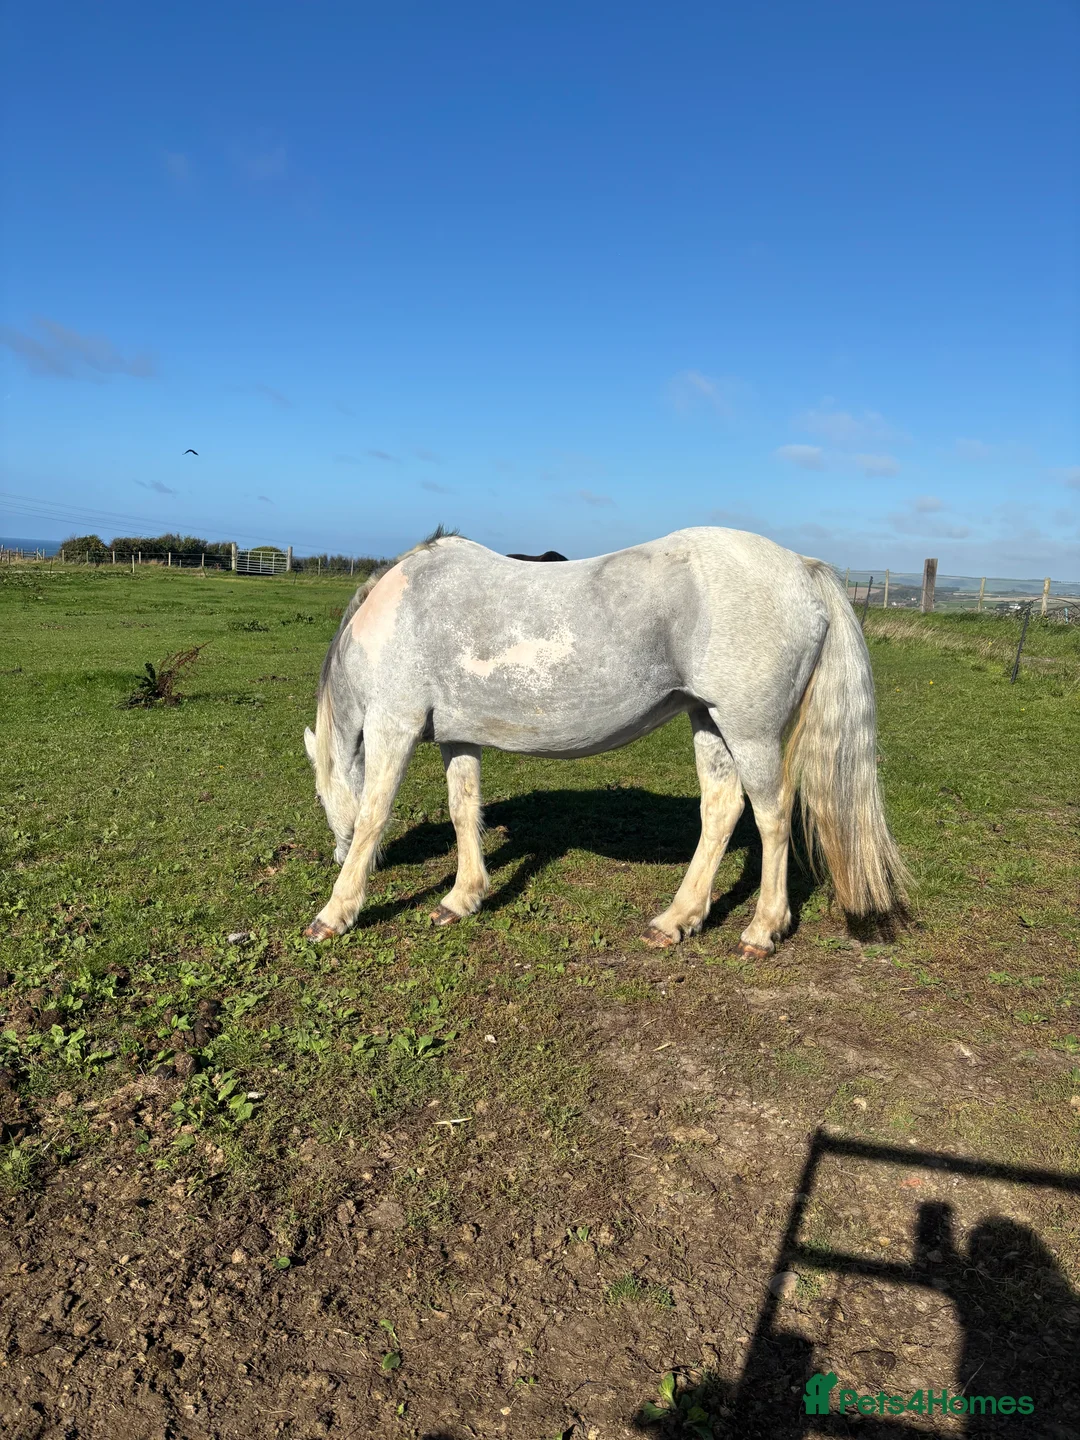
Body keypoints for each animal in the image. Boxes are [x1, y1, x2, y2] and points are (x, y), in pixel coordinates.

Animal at [302, 527, 907, 953]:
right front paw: (461, 898)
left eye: (320, 796)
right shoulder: (459, 737)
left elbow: (373, 814)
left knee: (773, 815)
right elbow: (463, 809)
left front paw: (335, 912)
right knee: (721, 809)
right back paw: (677, 920)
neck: (394, 616)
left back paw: (763, 930)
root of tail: (802, 569)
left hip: (750, 731)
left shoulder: (393, 723)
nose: (335, 857)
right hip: (709, 721)